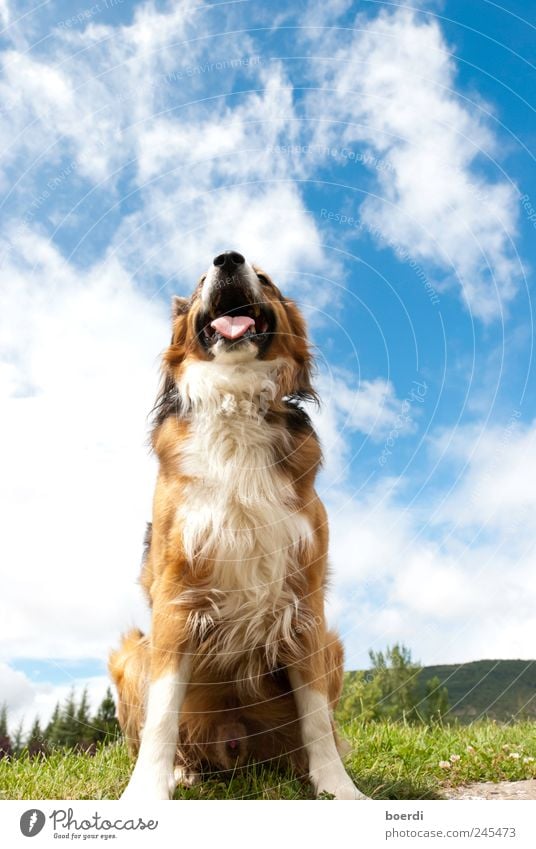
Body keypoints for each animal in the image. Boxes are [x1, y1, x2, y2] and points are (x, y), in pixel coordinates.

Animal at [110, 248, 366, 800]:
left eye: (264, 279)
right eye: (200, 280)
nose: (228, 260)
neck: (236, 397)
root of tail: (235, 748)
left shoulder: (304, 599)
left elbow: (317, 717)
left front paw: (339, 788)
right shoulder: (177, 594)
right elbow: (162, 714)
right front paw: (146, 792)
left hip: (330, 646)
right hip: (132, 653)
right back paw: (182, 771)